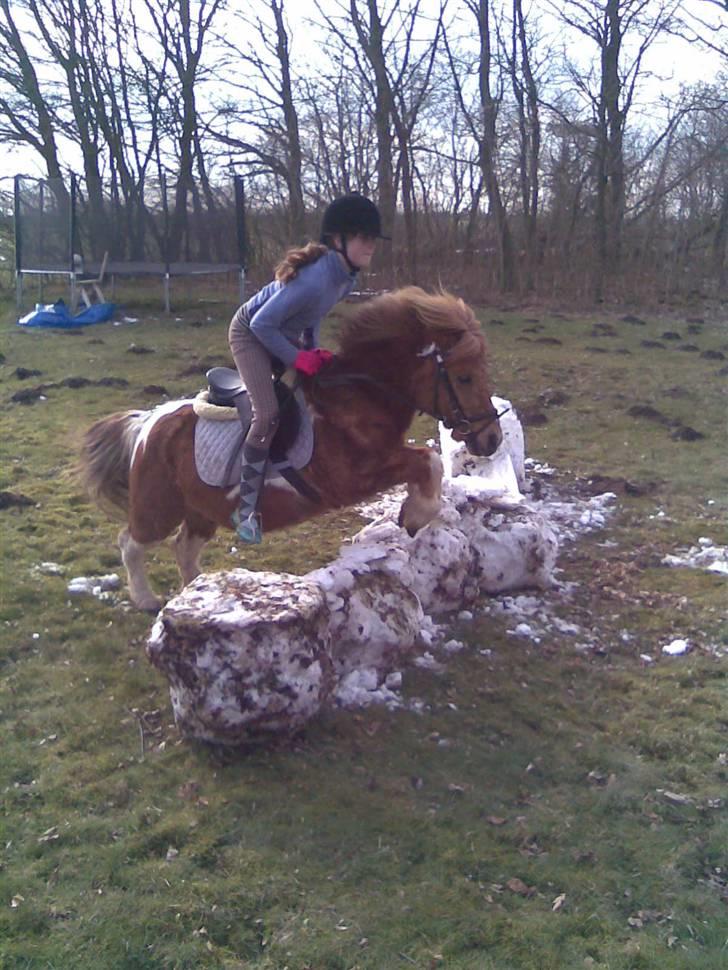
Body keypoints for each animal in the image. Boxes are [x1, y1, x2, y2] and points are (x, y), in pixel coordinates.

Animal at [79, 284, 500, 608]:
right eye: (464, 378)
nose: (492, 438)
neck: (360, 394)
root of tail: (147, 423)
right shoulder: (351, 479)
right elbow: (427, 461)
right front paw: (415, 515)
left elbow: (425, 462)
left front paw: (414, 510)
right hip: (159, 508)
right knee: (131, 543)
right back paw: (147, 600)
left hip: (201, 509)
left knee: (183, 547)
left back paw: (194, 593)